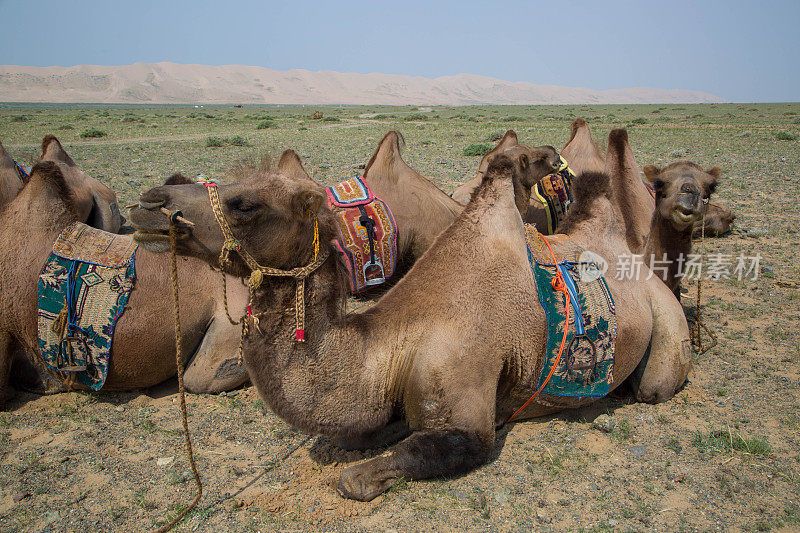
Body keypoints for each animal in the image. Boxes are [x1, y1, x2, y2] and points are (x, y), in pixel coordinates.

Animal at [130, 136, 688, 498]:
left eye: (245, 204)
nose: (150, 202)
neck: (395, 338)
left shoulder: (468, 409)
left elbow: (357, 478)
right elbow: (356, 434)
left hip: (663, 319)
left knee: (654, 384)